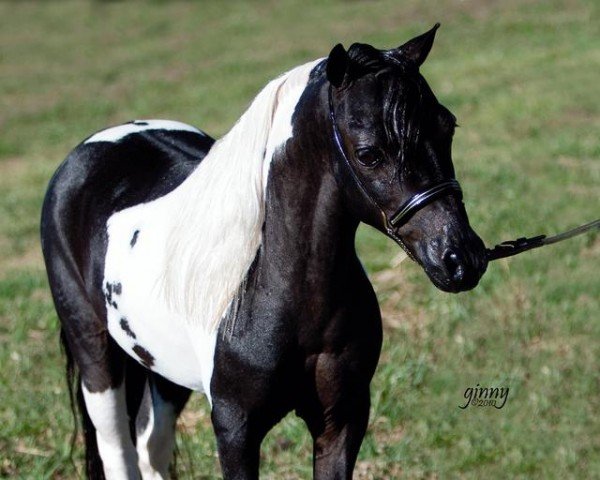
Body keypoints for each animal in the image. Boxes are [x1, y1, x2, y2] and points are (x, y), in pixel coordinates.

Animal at [39, 24, 488, 478]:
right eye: (368, 153)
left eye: (447, 127)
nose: (460, 258)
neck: (265, 285)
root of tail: (93, 147)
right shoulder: (235, 428)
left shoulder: (342, 419)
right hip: (96, 356)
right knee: (118, 447)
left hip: (163, 370)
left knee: (152, 445)